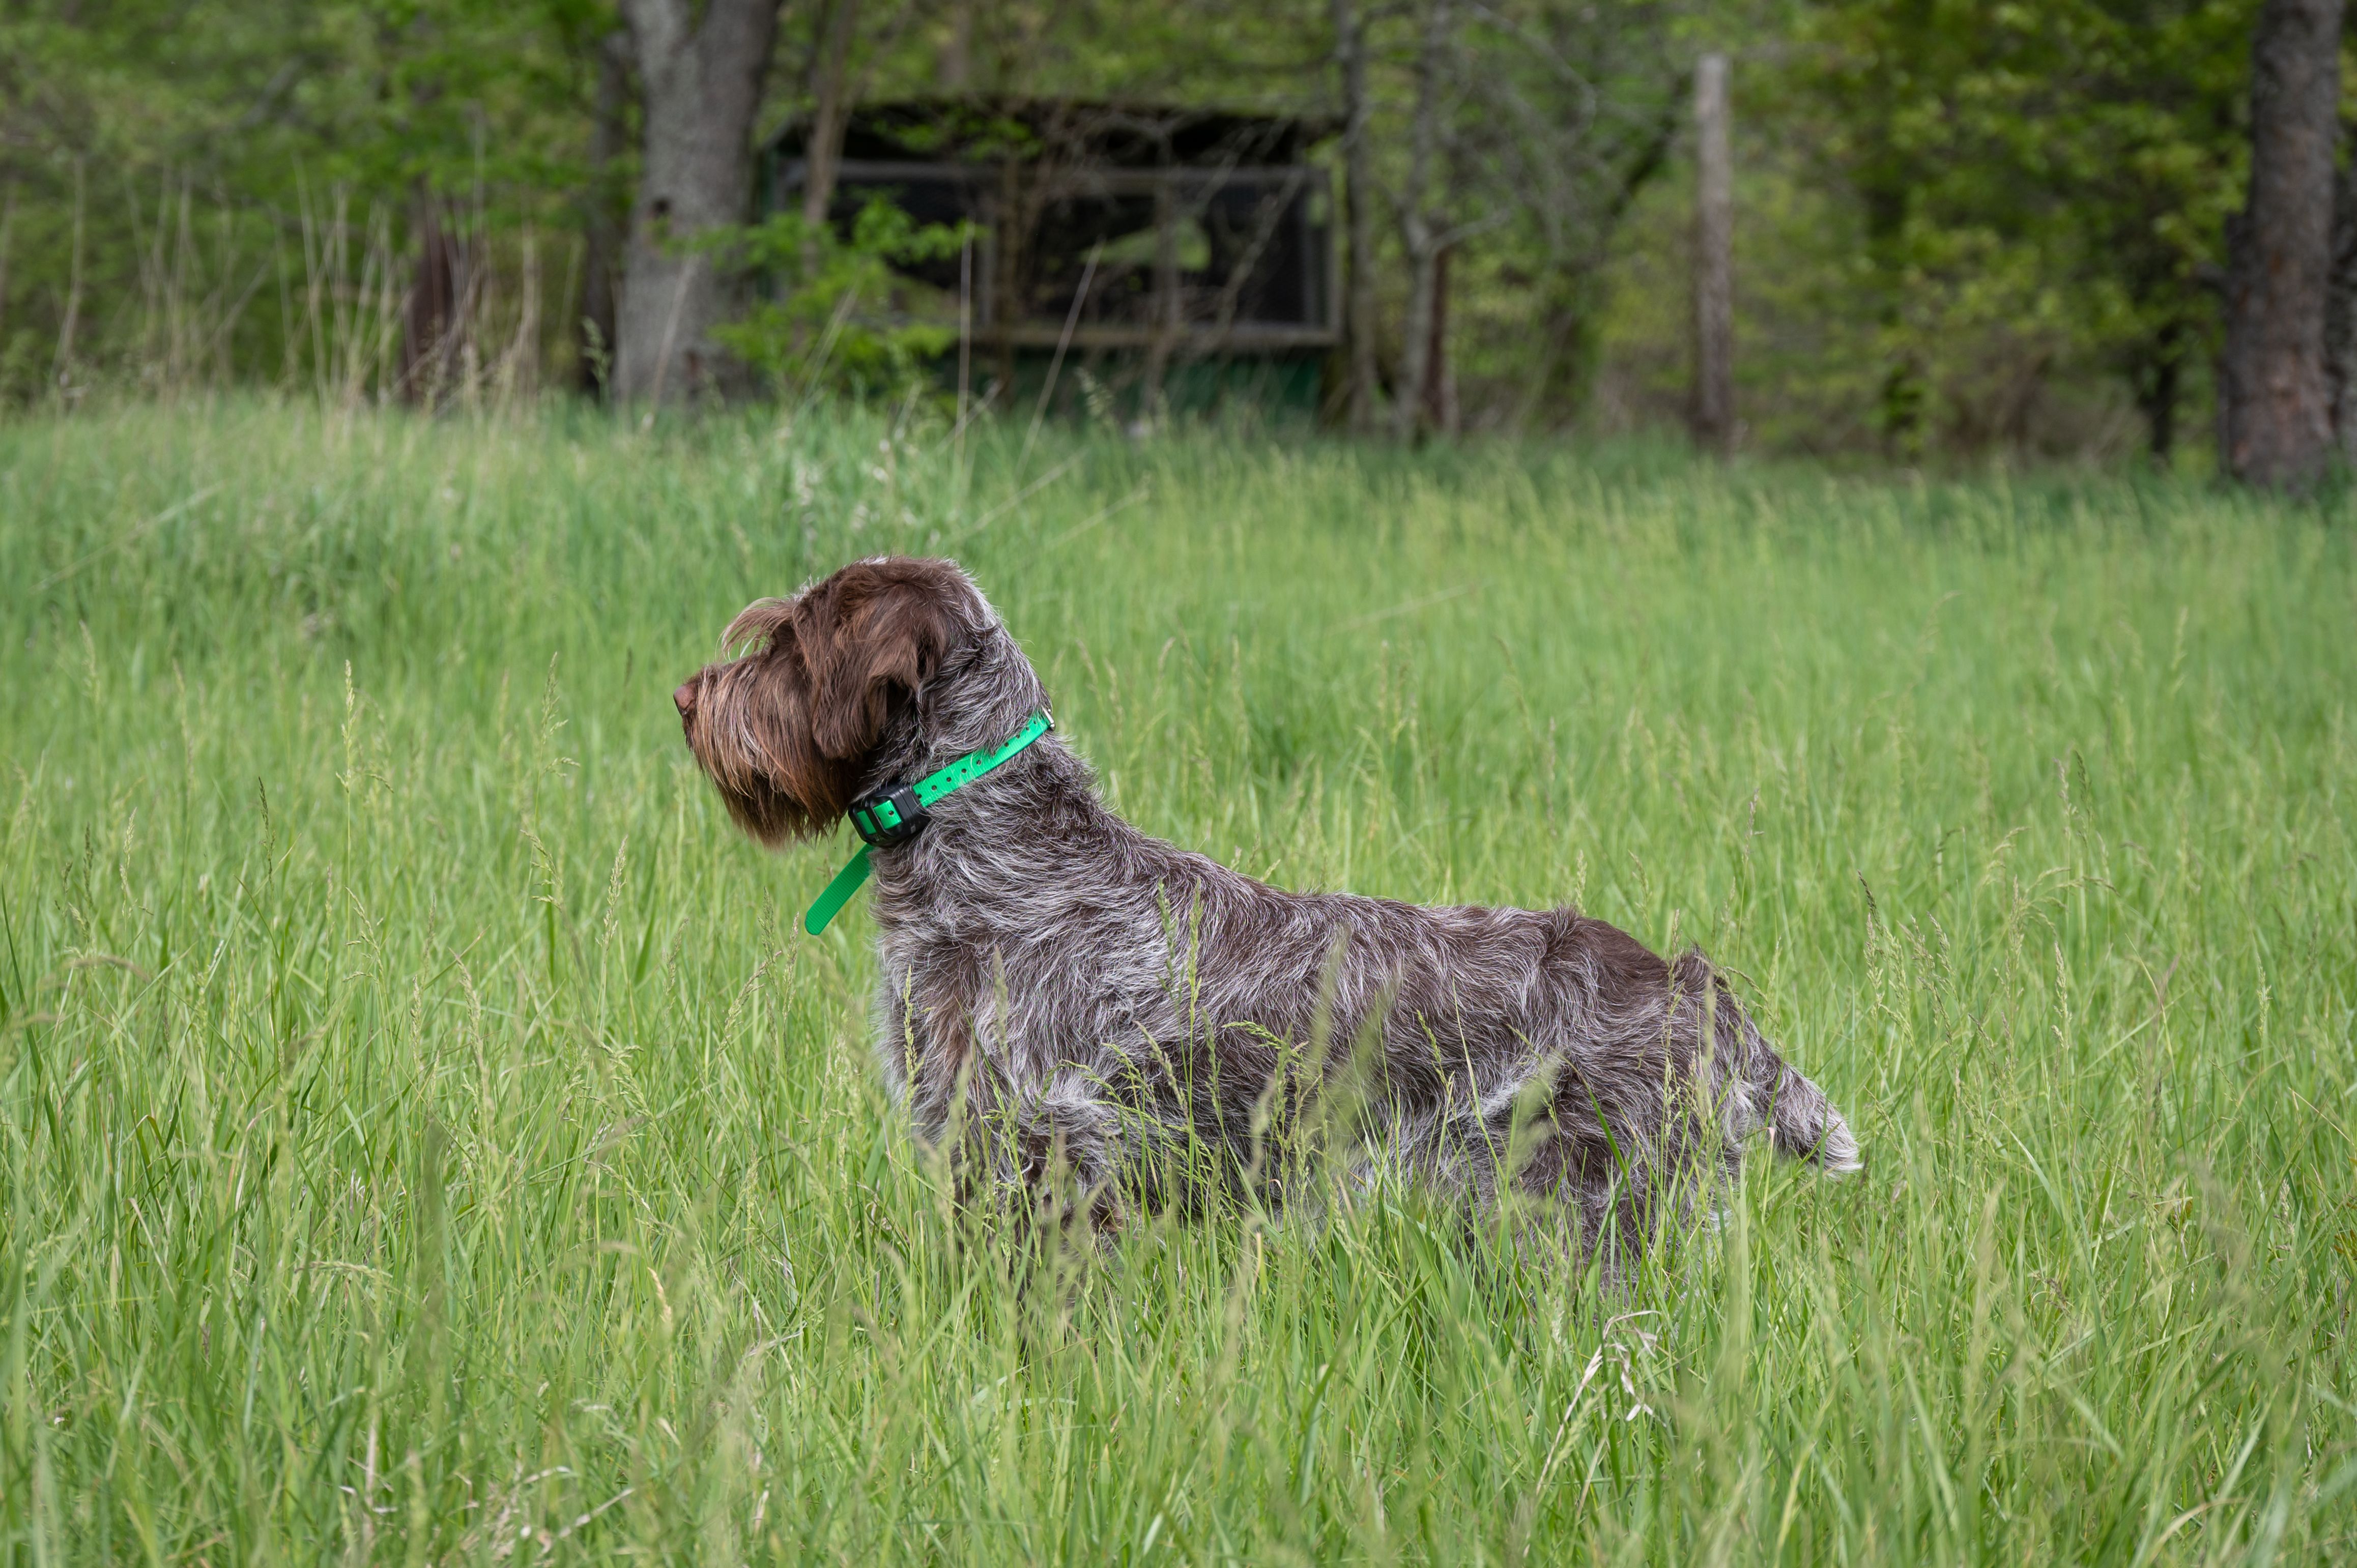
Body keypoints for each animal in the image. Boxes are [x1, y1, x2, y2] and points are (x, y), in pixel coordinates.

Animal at [669, 556, 1857, 1254]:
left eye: (790, 641)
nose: (687, 698)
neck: (995, 843)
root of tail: (1692, 985)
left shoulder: (1049, 1145)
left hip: (1593, 1213)